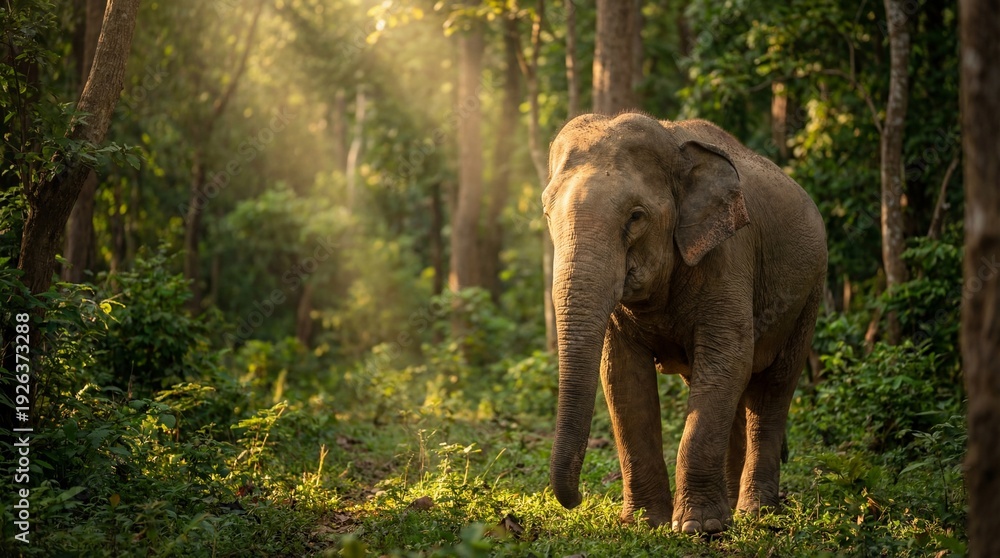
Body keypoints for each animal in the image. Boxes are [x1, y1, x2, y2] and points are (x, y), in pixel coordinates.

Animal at [542, 112, 827, 534]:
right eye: (547, 214)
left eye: (636, 217)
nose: (577, 500)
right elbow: (623, 376)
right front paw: (646, 523)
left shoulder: (729, 256)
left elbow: (728, 356)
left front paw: (698, 527)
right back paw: (732, 506)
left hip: (810, 292)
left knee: (773, 389)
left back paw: (755, 512)